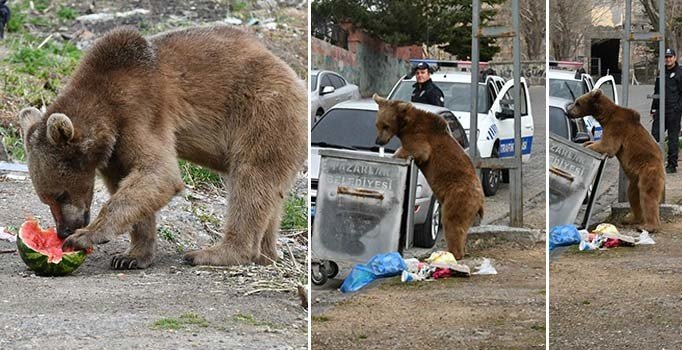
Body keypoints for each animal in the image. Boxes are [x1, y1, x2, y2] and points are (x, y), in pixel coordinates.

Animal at [17, 26, 306, 270]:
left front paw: (85, 236)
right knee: (270, 195)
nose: (63, 231)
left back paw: (215, 253)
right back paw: (265, 253)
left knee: (251, 182)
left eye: (59, 194)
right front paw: (131, 256)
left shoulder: (142, 111)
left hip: (262, 114)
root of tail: (295, 76)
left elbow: (158, 174)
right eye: (46, 198)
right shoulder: (115, 150)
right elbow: (133, 187)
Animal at [372, 94, 484, 258]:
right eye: (377, 124)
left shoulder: (421, 137)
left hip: (458, 197)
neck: (406, 125)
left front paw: (396, 154)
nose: (378, 141)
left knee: (452, 223)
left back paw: (451, 254)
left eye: (386, 125)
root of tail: (480, 200)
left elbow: (418, 150)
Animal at [564, 89, 664, 231]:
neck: (606, 117)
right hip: (635, 180)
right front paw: (587, 143)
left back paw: (649, 226)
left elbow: (608, 146)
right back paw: (630, 218)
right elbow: (601, 143)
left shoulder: (616, 127)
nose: (568, 112)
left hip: (648, 171)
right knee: (633, 195)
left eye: (578, 103)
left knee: (648, 196)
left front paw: (587, 146)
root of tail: (662, 168)